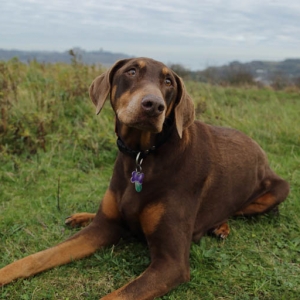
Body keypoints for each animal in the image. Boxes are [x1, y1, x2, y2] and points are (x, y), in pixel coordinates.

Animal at [0, 57, 290, 298]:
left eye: (168, 81)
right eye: (131, 71)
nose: (154, 106)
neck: (141, 155)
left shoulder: (171, 263)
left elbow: (117, 296)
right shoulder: (101, 228)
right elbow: (39, 257)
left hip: (279, 189)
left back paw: (220, 226)